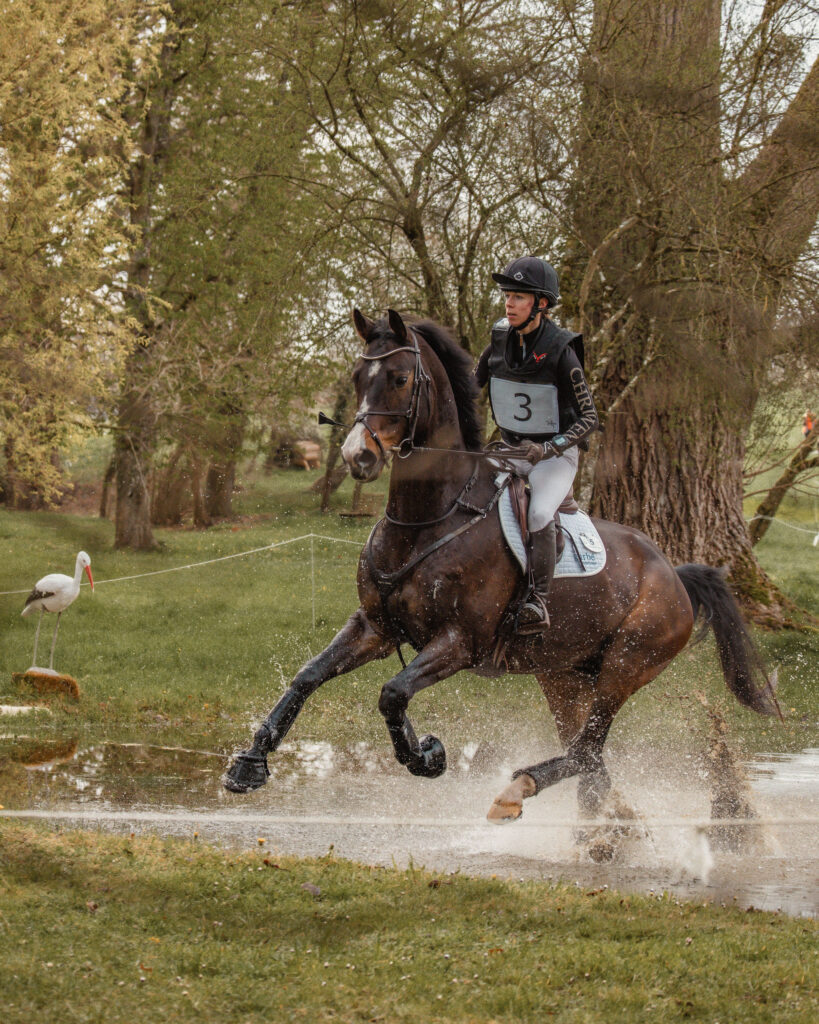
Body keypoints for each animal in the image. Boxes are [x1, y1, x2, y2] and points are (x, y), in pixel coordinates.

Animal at [225, 309, 782, 823]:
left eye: (400, 378)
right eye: (358, 377)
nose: (357, 456)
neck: (428, 517)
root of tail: (675, 575)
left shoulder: (459, 642)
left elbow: (392, 693)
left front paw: (425, 755)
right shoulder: (376, 627)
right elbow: (307, 676)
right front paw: (249, 764)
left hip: (626, 666)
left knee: (588, 748)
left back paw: (521, 790)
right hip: (563, 676)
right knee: (588, 757)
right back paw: (604, 832)